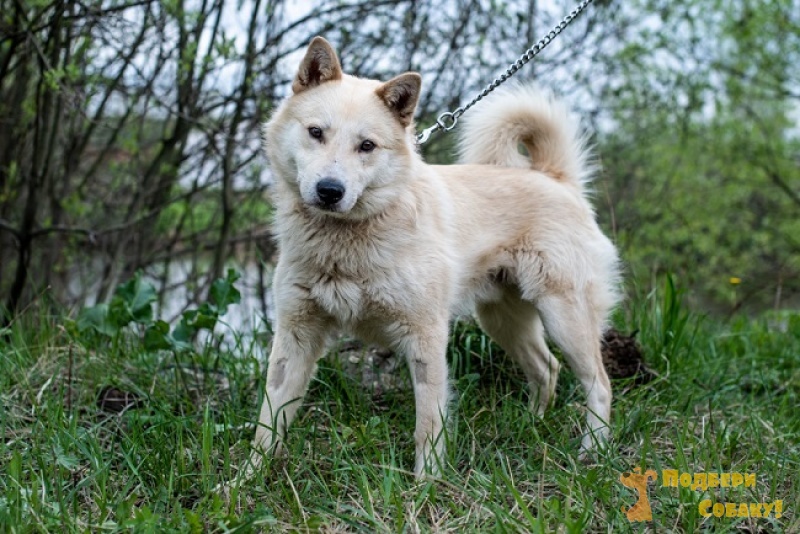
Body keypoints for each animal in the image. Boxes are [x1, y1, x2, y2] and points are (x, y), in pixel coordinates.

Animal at [253, 35, 620, 476]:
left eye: (366, 145)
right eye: (315, 132)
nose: (329, 190)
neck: (345, 243)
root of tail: (555, 177)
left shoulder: (425, 335)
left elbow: (428, 423)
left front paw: (426, 482)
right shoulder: (295, 336)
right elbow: (267, 421)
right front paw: (243, 482)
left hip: (566, 317)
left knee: (599, 384)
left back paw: (593, 453)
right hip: (503, 320)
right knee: (546, 369)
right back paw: (532, 425)